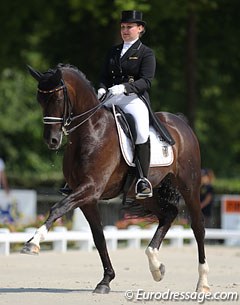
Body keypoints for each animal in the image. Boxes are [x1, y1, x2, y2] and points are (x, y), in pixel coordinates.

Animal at [23, 63, 210, 292]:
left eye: (57, 99)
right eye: (39, 99)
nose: (52, 140)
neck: (91, 130)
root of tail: (180, 122)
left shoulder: (90, 188)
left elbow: (57, 208)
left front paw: (33, 242)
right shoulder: (87, 197)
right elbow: (99, 237)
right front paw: (106, 280)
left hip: (189, 185)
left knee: (198, 226)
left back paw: (202, 282)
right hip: (144, 193)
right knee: (169, 213)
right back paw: (156, 266)